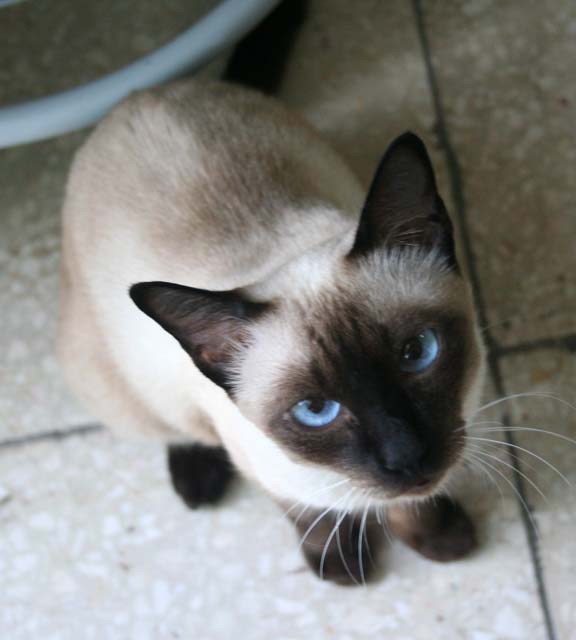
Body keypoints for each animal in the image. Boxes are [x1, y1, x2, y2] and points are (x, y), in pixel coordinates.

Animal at [58, 79, 484, 584]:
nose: (407, 457)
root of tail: (139, 94)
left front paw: (439, 537)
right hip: (116, 386)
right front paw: (340, 567)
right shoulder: (268, 471)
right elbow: (309, 514)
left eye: (417, 352)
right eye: (315, 410)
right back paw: (197, 482)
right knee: (174, 428)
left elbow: (412, 503)